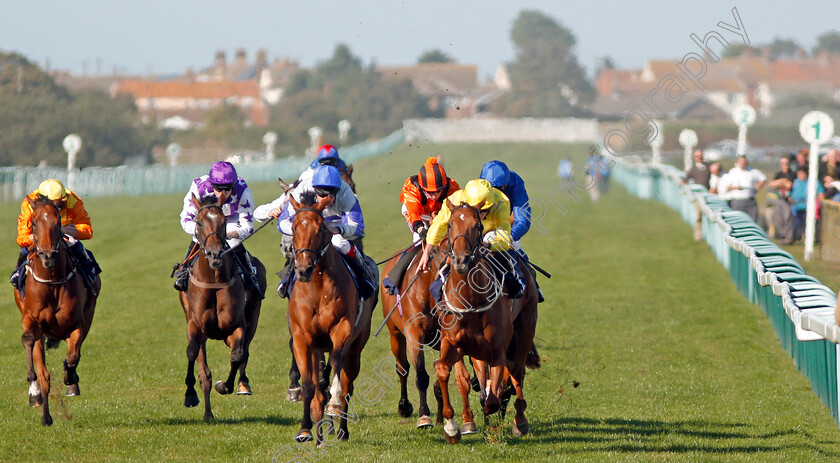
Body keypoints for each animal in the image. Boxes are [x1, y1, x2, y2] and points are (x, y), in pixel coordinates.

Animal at [14, 198, 99, 426]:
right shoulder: (31, 319)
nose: (48, 256)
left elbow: (72, 357)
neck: (52, 280)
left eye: (58, 221)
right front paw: (38, 398)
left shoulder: (78, 322)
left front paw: (71, 379)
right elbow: (32, 350)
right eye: (34, 223)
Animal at [180, 194, 266, 422]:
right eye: (199, 222)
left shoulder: (236, 326)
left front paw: (225, 386)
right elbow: (194, 356)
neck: (214, 282)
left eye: (223, 222)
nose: (215, 254)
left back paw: (243, 384)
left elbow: (237, 356)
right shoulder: (195, 326)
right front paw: (192, 397)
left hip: (253, 315)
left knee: (244, 351)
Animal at [290, 191, 378, 446]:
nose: (303, 269)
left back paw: (341, 430)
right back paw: (320, 434)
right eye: (294, 226)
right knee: (318, 387)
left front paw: (334, 403)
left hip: (356, 349)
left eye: (321, 229)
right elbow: (309, 385)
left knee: (347, 385)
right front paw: (305, 429)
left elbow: (337, 365)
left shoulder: (342, 328)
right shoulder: (302, 338)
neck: (318, 289)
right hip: (318, 348)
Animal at [380, 243, 480, 436]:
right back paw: (404, 406)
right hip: (395, 334)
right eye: (433, 252)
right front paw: (424, 416)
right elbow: (421, 376)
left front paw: (447, 419)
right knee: (402, 368)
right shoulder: (414, 334)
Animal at [434, 200, 540, 446]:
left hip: (526, 326)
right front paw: (451, 427)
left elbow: (493, 397)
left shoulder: (498, 350)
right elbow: (443, 369)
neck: (471, 300)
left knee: (517, 371)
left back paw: (519, 421)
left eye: (477, 226)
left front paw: (495, 424)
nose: (460, 260)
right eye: (450, 224)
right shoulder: (453, 343)